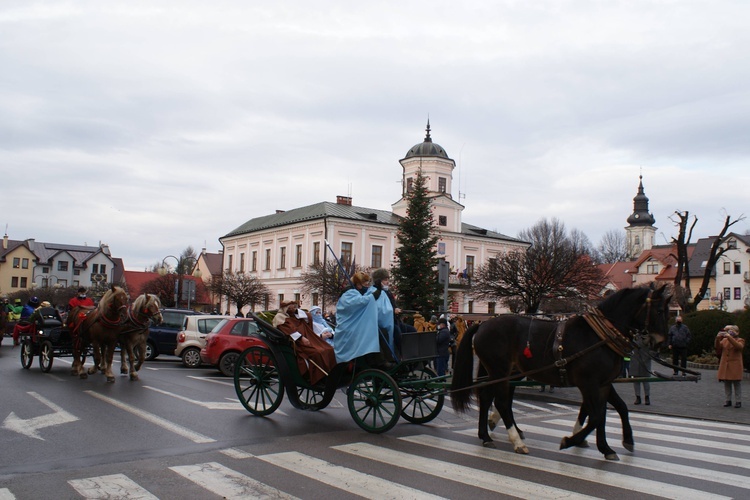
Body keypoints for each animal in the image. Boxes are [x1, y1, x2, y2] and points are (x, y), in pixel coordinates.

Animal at [450, 286, 672, 460]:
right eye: (660, 310)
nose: (662, 343)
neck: (599, 336)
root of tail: (483, 324)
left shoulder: (603, 383)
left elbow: (614, 410)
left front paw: (610, 446)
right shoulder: (589, 383)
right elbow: (597, 416)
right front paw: (570, 440)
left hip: (503, 371)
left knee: (487, 397)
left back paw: (486, 435)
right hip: (499, 371)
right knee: (502, 402)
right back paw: (516, 441)